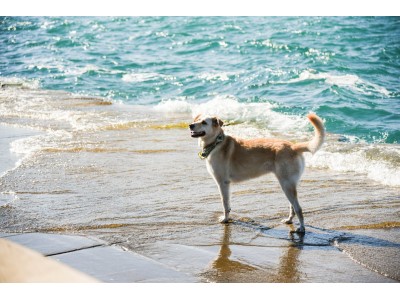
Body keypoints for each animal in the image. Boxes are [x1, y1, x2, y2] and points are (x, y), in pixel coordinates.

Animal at [190, 113, 324, 233]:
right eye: (196, 120)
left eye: (204, 122)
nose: (190, 125)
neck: (216, 143)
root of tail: (293, 146)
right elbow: (227, 204)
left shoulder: (223, 183)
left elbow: (225, 204)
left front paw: (225, 219)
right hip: (288, 185)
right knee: (293, 207)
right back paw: (289, 220)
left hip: (286, 184)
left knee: (299, 209)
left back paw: (302, 228)